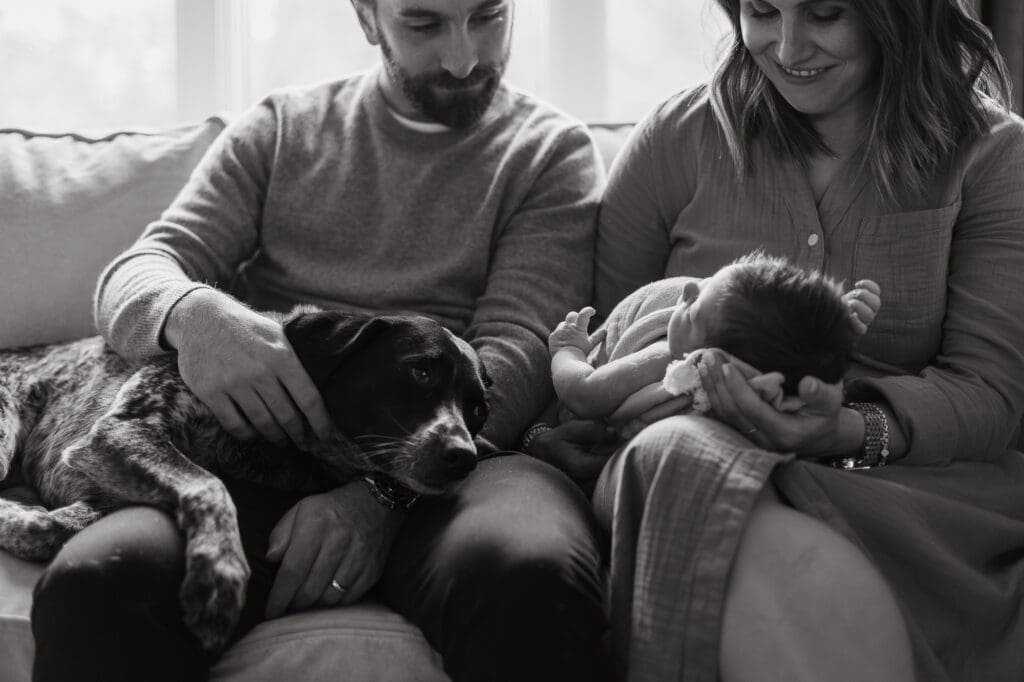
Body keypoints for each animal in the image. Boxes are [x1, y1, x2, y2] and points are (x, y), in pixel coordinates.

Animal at [0, 307, 491, 647]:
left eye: (479, 411)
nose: (463, 457)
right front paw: (220, 573)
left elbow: (57, 526)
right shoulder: (122, 430)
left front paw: (23, 521)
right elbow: (208, 484)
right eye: (420, 371)